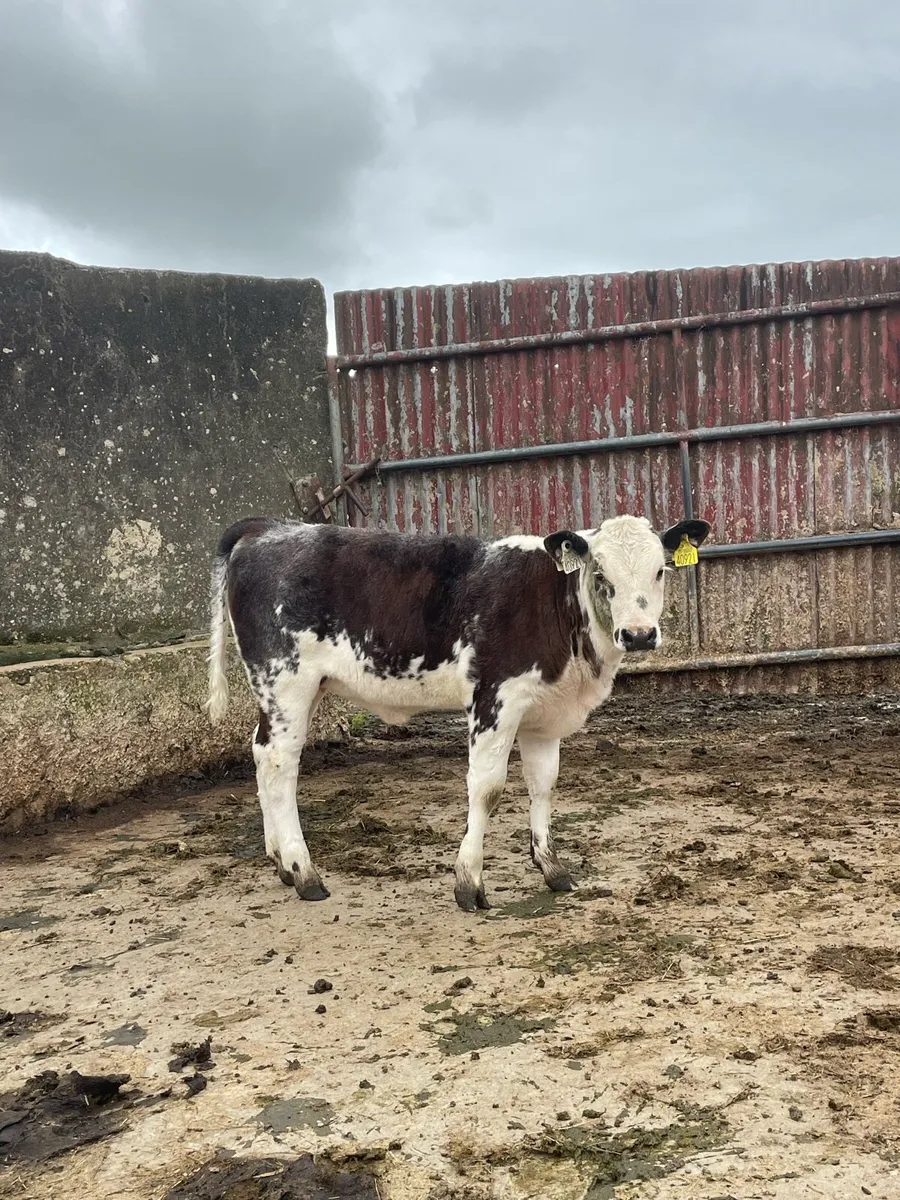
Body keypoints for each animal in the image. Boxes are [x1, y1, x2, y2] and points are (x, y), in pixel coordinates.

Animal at [206, 513, 710, 911]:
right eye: (600, 574)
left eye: (660, 570)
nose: (639, 634)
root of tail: (267, 528)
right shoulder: (495, 699)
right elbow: (486, 790)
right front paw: (469, 883)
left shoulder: (545, 712)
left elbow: (543, 785)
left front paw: (552, 869)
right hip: (286, 681)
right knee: (280, 764)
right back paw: (304, 872)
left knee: (262, 755)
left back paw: (282, 865)